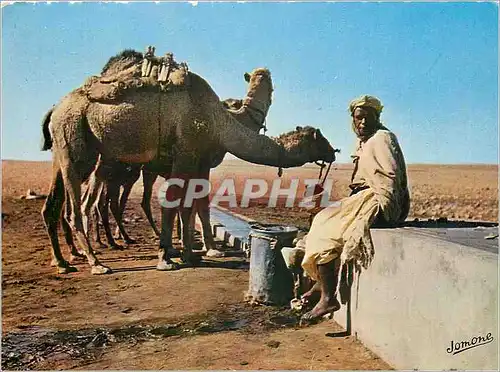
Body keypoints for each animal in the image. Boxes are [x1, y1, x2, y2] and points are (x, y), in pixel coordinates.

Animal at [42, 49, 336, 274]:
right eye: (318, 138)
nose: (334, 151)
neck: (221, 121)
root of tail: (55, 107)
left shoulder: (196, 160)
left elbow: (191, 203)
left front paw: (190, 252)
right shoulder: (187, 152)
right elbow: (176, 201)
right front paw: (169, 257)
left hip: (69, 151)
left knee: (56, 205)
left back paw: (65, 261)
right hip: (79, 144)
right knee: (78, 207)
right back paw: (96, 262)